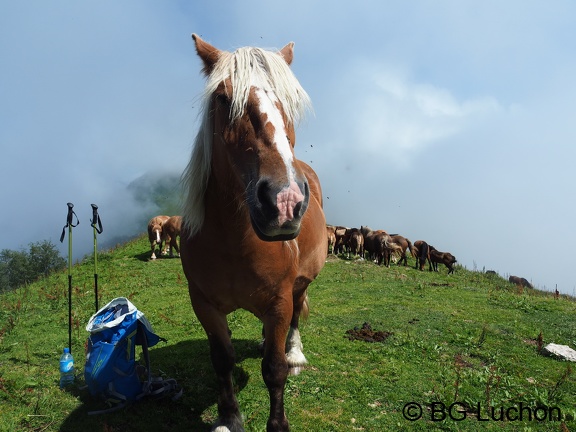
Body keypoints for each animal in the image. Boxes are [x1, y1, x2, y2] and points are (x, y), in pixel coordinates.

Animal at [180, 34, 326, 432]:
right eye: (222, 97)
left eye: (290, 99)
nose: (285, 200)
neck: (234, 241)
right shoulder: (204, 304)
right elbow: (222, 360)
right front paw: (229, 417)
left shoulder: (279, 302)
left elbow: (274, 370)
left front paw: (278, 424)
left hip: (300, 286)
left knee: (295, 318)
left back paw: (294, 352)